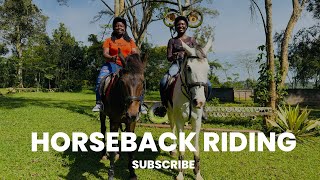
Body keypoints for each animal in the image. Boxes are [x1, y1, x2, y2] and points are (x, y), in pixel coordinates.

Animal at [99, 51, 147, 180]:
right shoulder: (114, 121)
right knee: (103, 129)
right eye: (122, 82)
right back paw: (103, 154)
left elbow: (130, 147)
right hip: (102, 114)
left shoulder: (131, 123)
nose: (132, 114)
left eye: (142, 82)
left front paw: (132, 173)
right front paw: (111, 173)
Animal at [168, 38, 212, 179]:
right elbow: (182, 147)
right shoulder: (180, 121)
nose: (199, 102)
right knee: (172, 128)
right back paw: (173, 150)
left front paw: (197, 173)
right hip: (170, 113)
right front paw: (180, 173)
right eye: (188, 68)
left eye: (207, 68)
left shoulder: (196, 121)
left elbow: (196, 147)